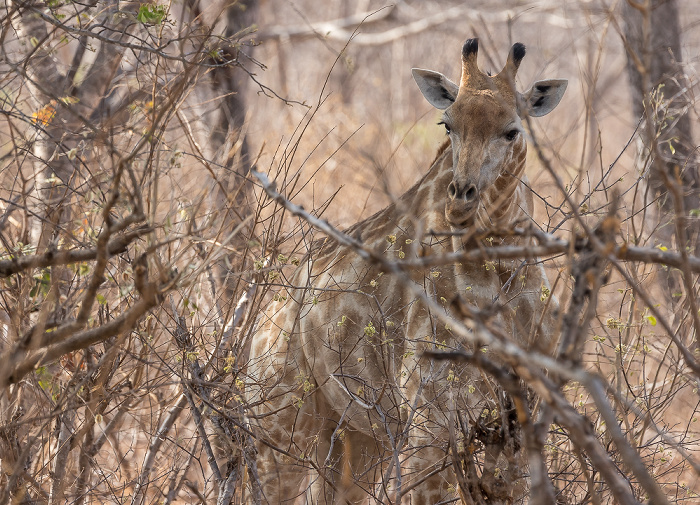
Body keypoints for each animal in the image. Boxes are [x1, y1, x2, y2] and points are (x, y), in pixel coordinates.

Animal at [249, 37, 568, 502]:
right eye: (447, 125)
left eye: (512, 130)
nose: (461, 198)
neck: (499, 264)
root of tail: (266, 312)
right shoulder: (429, 422)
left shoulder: (518, 419)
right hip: (282, 422)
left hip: (356, 435)